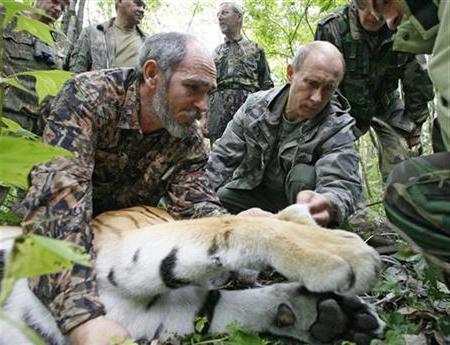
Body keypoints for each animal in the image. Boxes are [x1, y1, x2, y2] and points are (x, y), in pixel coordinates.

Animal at [0, 204, 384, 344]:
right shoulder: (116, 250)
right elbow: (229, 221)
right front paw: (338, 249)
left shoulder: (143, 315)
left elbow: (222, 305)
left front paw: (333, 316)